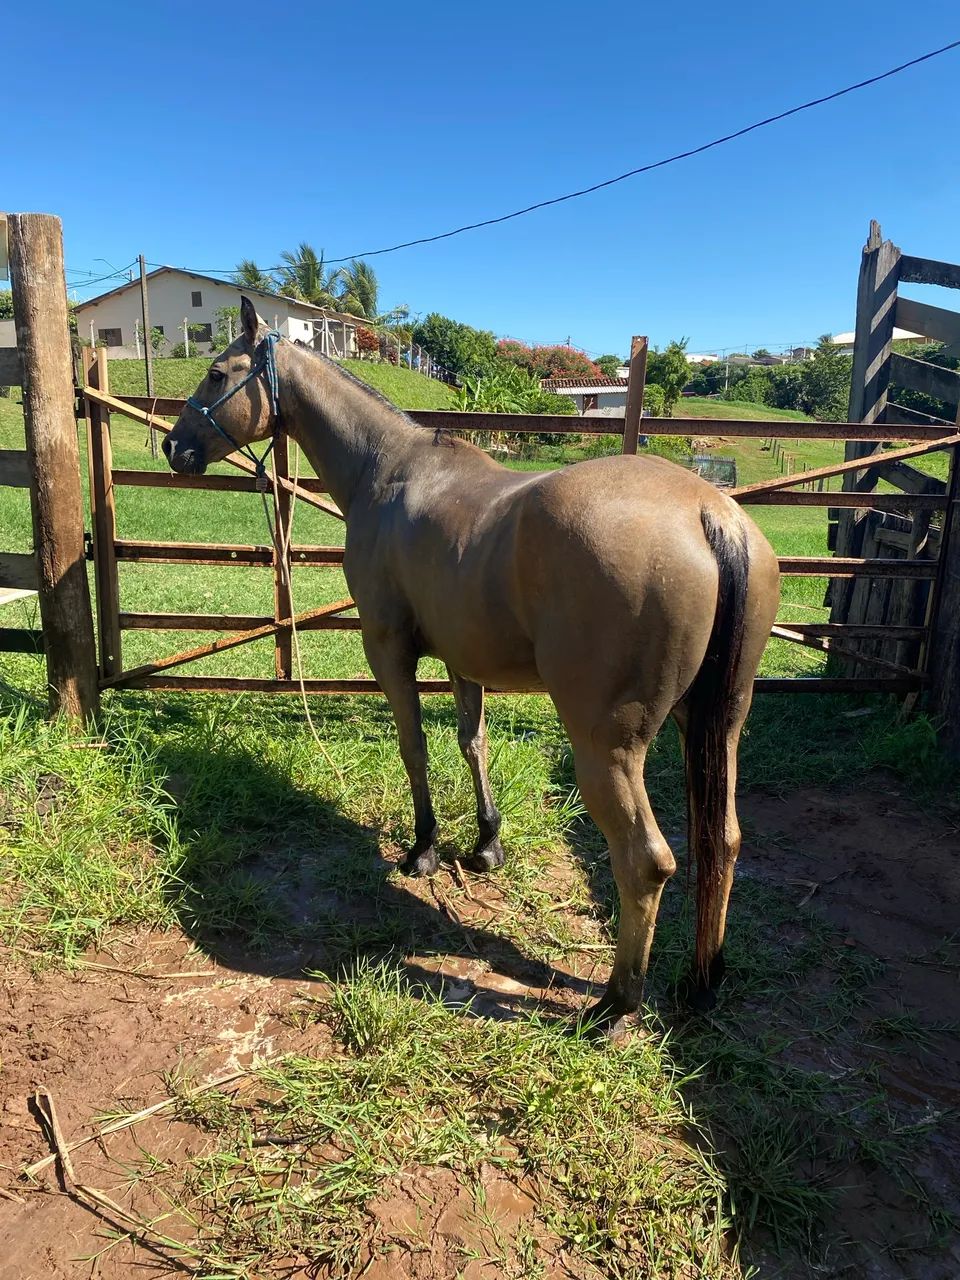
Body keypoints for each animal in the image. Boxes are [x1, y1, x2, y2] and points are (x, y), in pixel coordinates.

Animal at [163, 297, 780, 1036]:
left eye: (216, 373)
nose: (174, 448)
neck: (389, 471)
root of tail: (709, 512)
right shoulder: (463, 659)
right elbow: (471, 743)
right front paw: (487, 844)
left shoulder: (388, 649)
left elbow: (415, 748)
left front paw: (424, 847)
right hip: (718, 727)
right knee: (724, 843)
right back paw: (700, 981)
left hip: (605, 748)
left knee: (646, 862)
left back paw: (615, 1001)